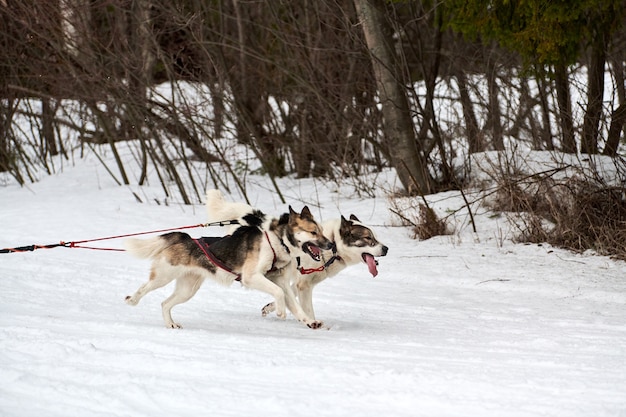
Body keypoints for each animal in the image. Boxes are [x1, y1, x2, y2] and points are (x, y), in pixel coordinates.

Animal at [123, 203, 334, 330]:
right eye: (313, 232)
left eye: (322, 231)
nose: (331, 244)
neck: (277, 241)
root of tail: (185, 237)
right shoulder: (252, 277)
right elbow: (278, 294)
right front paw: (281, 311)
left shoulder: (280, 281)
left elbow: (294, 305)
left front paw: (310, 321)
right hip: (163, 276)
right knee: (144, 288)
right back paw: (132, 299)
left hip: (187, 290)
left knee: (165, 303)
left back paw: (170, 324)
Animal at [205, 190, 388, 320]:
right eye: (368, 238)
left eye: (376, 237)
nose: (386, 249)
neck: (333, 244)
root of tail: (252, 218)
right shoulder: (304, 285)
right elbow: (307, 309)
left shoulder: (301, 281)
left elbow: (287, 294)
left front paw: (271, 307)